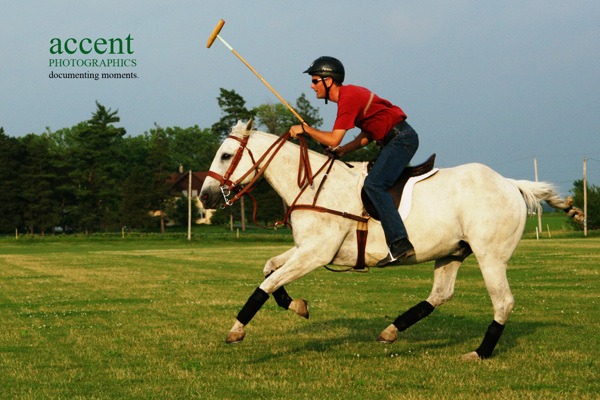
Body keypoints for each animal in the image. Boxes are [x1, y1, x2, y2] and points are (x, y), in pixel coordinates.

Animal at [200, 119, 580, 360]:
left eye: (224, 155)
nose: (205, 197)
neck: (311, 184)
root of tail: (513, 184)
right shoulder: (307, 249)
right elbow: (270, 270)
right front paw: (298, 305)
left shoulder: (316, 253)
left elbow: (266, 284)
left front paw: (236, 330)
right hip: (453, 252)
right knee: (440, 295)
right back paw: (391, 331)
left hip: (491, 256)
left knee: (503, 302)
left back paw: (480, 353)